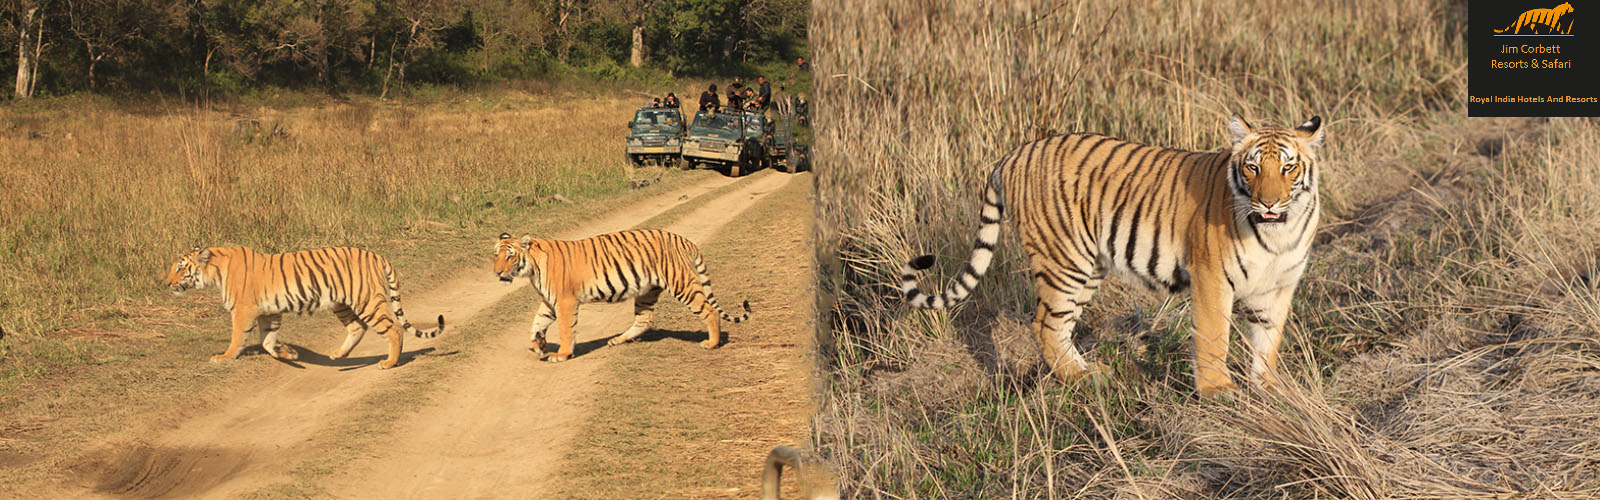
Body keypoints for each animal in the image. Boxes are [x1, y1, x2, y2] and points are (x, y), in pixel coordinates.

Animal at [163, 243, 444, 368]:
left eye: (180, 268)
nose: (166, 283)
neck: (216, 270)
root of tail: (377, 255)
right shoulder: (269, 312)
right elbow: (267, 342)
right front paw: (289, 354)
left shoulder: (244, 310)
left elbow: (237, 337)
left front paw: (224, 356)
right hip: (341, 304)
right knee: (357, 328)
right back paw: (338, 355)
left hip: (367, 301)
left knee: (394, 329)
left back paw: (389, 362)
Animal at [492, 229, 748, 360]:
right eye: (496, 255)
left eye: (510, 256)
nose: (497, 273)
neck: (532, 268)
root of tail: (684, 240)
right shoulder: (549, 301)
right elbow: (537, 323)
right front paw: (538, 345)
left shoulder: (565, 301)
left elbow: (565, 329)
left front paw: (562, 354)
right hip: (647, 291)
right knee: (645, 319)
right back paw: (617, 340)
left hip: (681, 283)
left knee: (709, 310)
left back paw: (712, 343)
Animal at [902, 115, 1324, 395]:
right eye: (1252, 167)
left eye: (1288, 167)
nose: (1268, 202)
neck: (1278, 232)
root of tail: (1014, 154)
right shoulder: (1212, 279)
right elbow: (1213, 337)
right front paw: (1218, 391)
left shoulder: (1278, 286)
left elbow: (1268, 341)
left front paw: (1269, 388)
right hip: (1064, 260)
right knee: (1044, 324)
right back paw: (1080, 379)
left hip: (1088, 266)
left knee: (1060, 325)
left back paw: (1088, 372)